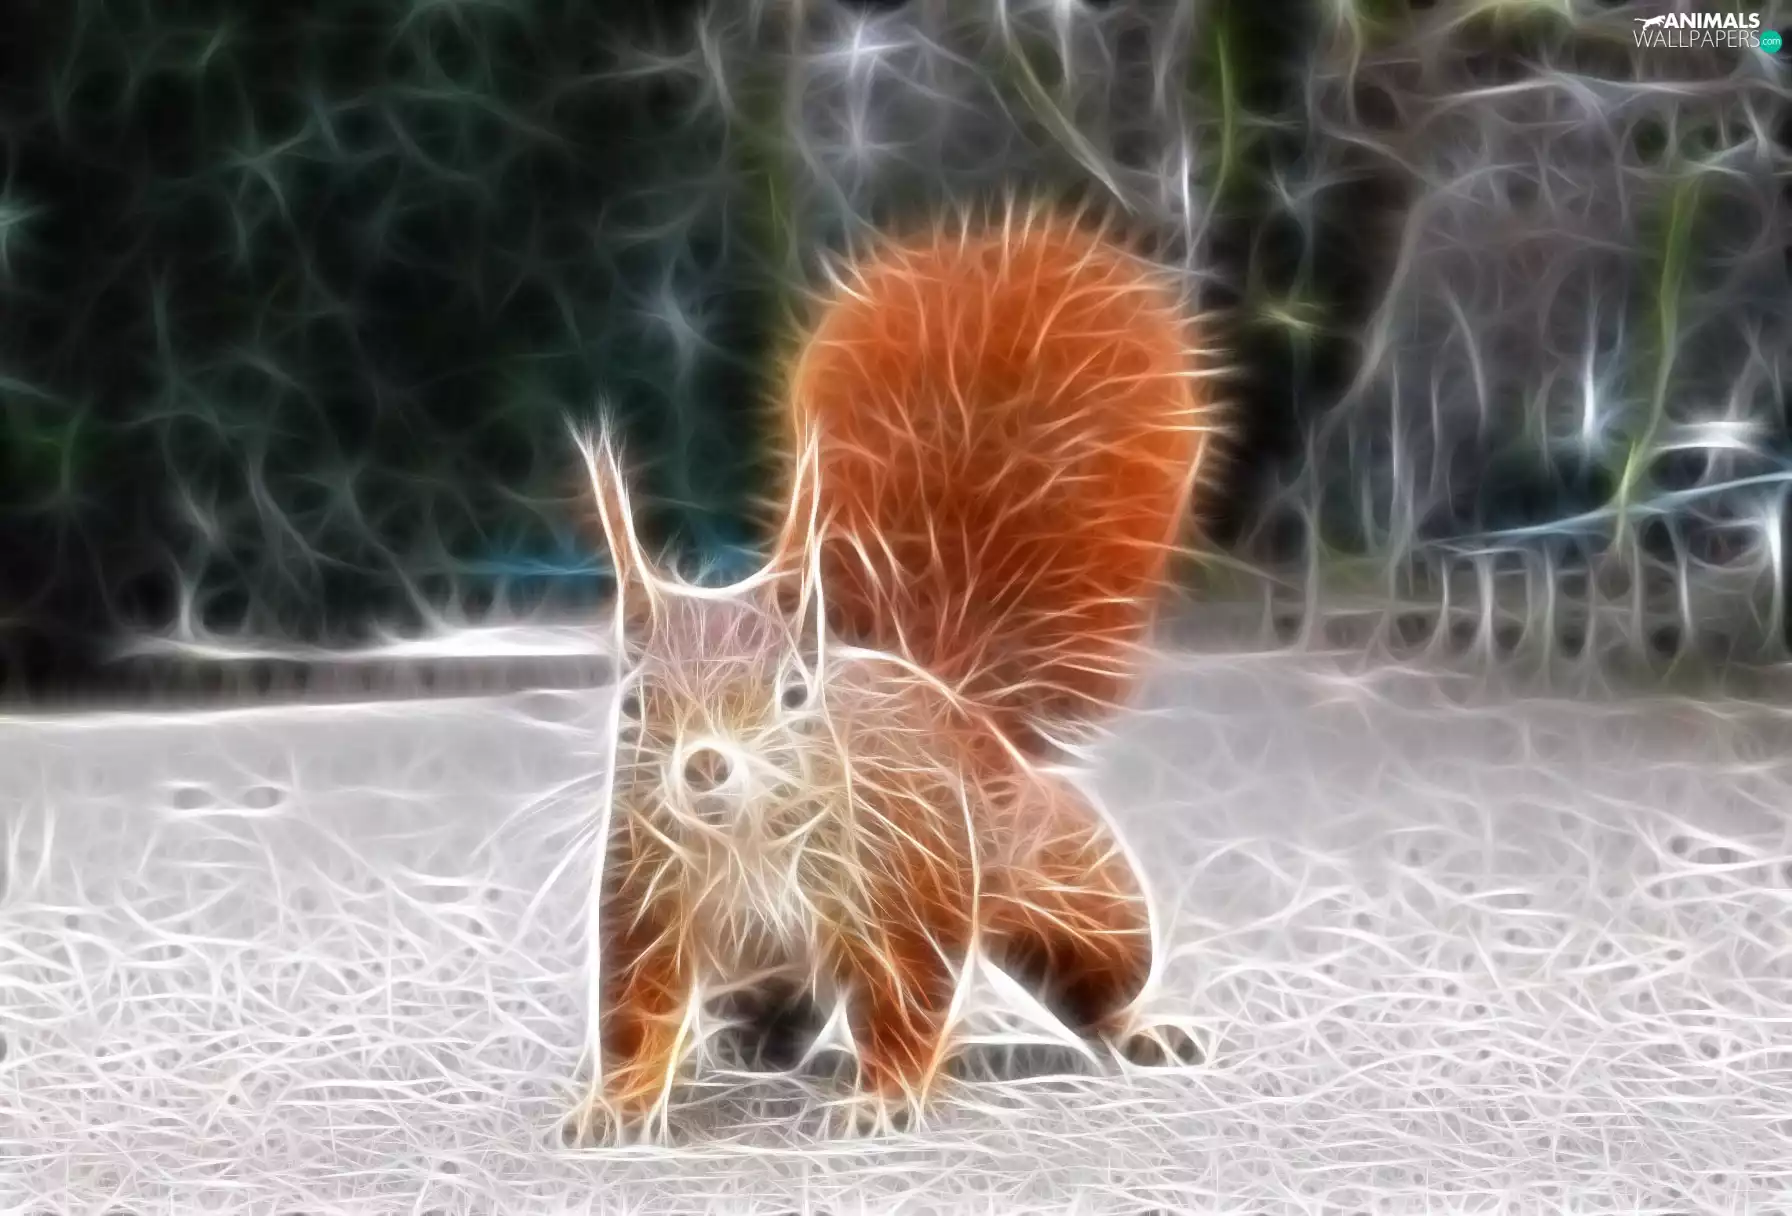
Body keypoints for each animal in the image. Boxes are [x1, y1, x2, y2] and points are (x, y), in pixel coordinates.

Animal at [569, 200, 1222, 1144]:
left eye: (794, 694)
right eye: (634, 704)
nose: (704, 765)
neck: (748, 842)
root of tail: (944, 689)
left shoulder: (903, 877)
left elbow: (909, 990)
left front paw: (880, 1098)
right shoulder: (647, 893)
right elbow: (636, 1007)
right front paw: (615, 1103)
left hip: (1057, 876)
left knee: (1100, 960)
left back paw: (1141, 1025)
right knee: (777, 1001)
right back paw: (741, 1043)